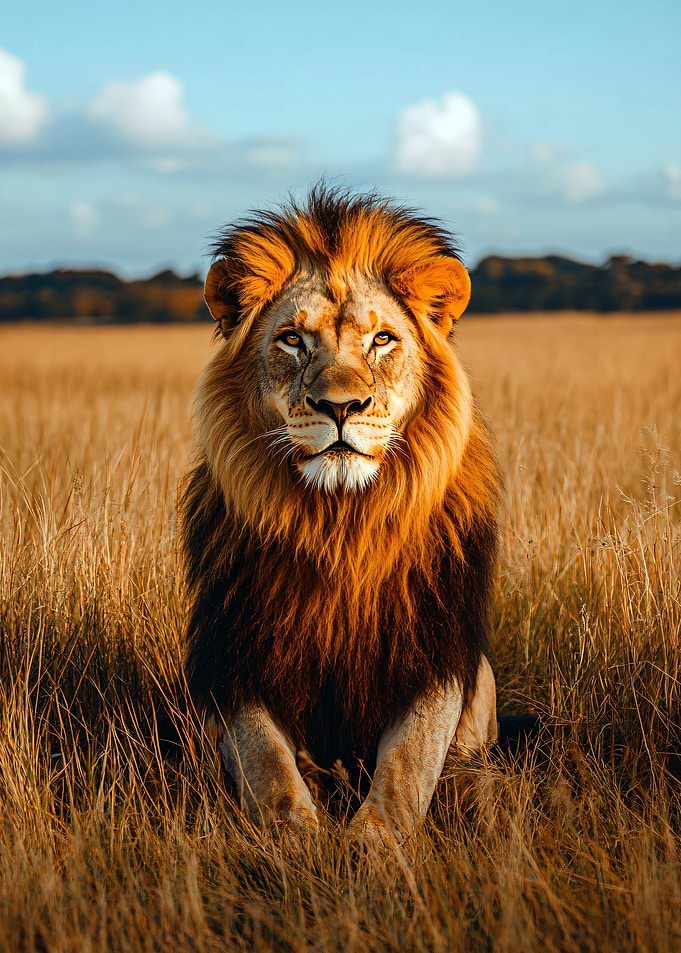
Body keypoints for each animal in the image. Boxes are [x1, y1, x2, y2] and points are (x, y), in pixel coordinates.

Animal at [180, 185, 499, 845]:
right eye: (292, 340)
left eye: (382, 340)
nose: (341, 406)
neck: (340, 524)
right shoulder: (236, 657)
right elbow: (269, 766)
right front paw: (297, 841)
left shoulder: (436, 652)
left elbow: (408, 764)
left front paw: (372, 847)